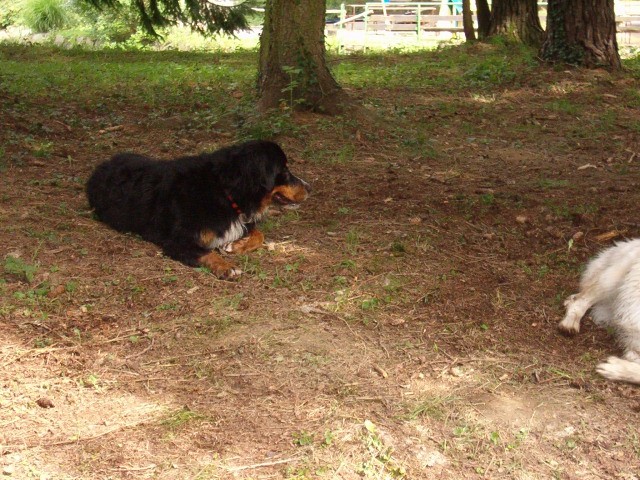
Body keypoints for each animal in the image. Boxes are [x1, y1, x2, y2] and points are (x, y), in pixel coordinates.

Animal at [86, 139, 312, 280]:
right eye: (284, 170)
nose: (309, 187)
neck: (225, 189)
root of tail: (101, 166)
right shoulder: (179, 241)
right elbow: (207, 253)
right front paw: (226, 267)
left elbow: (259, 234)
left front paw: (235, 246)